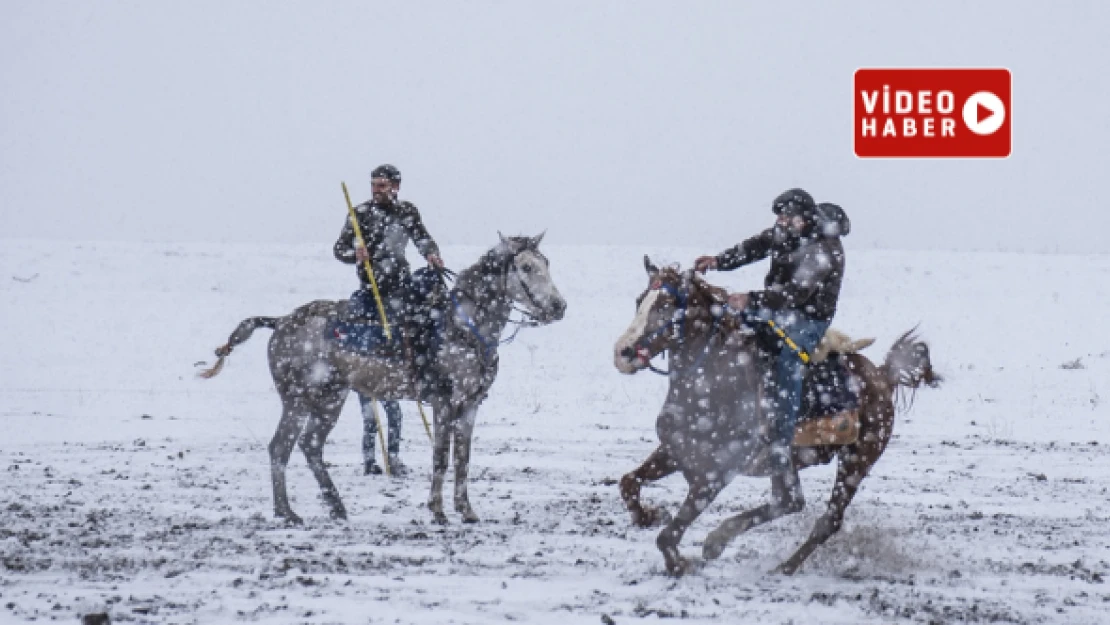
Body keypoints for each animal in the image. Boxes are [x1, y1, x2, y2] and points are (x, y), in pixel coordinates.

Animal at [197, 233, 563, 523]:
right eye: (526, 267)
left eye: (546, 262)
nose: (559, 307)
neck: (463, 328)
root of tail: (280, 321)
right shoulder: (444, 402)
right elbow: (441, 457)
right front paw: (438, 511)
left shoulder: (471, 404)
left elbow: (463, 459)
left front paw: (467, 511)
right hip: (298, 398)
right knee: (280, 447)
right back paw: (288, 512)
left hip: (330, 399)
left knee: (309, 445)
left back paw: (333, 506)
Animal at [612, 259, 941, 577]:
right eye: (640, 300)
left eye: (667, 305)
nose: (623, 353)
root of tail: (883, 376)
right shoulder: (675, 451)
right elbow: (628, 482)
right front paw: (651, 515)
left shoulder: (716, 473)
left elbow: (669, 534)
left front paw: (679, 564)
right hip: (787, 461)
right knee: (789, 501)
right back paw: (719, 540)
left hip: (857, 460)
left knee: (828, 519)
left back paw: (782, 566)